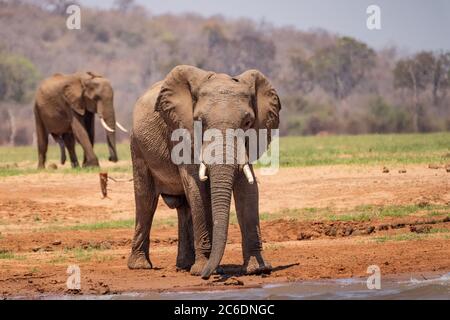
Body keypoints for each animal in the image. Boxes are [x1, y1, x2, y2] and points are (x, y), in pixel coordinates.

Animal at [127, 65, 282, 280]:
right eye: (200, 122)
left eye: (248, 123)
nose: (207, 276)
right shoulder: (181, 132)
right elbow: (197, 188)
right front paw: (202, 269)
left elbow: (247, 189)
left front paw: (258, 269)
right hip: (137, 146)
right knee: (146, 200)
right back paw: (141, 266)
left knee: (183, 207)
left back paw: (184, 265)